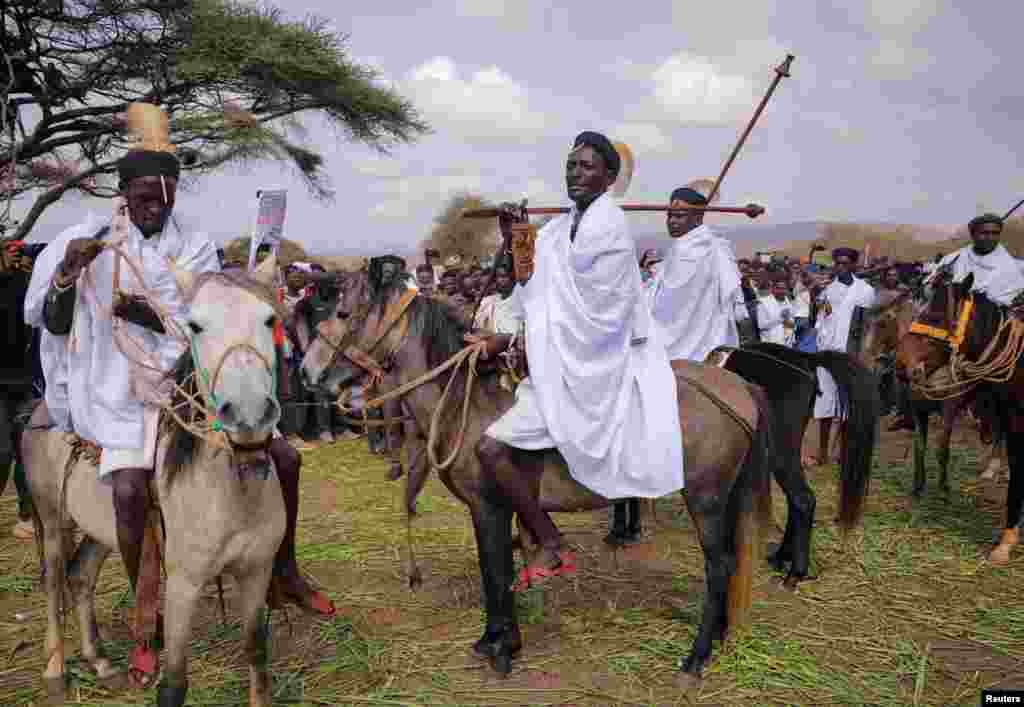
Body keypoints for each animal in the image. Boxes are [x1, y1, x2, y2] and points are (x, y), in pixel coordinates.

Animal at [24, 255, 288, 704]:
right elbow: (174, 683)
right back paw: (57, 669)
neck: (231, 495)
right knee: (55, 583)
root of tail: (39, 411)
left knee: (80, 577)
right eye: (195, 326)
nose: (249, 415)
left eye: (270, 319)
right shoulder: (183, 584)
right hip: (53, 520)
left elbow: (256, 650)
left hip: (100, 529)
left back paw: (100, 661)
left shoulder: (256, 571)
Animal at [299, 270, 770, 684]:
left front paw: (501, 647)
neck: (464, 401)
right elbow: (498, 568)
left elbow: (495, 571)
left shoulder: (488, 505)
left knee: (719, 564)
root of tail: (737, 387)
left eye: (342, 312)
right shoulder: (496, 509)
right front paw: (497, 639)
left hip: (706, 498)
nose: (306, 371)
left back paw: (696, 656)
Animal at [704, 342, 880, 590]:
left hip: (781, 448)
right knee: (796, 501)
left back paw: (795, 573)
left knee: (803, 499)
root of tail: (805, 360)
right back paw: (782, 557)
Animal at [897, 270, 1024, 561]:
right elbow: (920, 447)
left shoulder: (949, 409)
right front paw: (918, 488)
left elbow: (942, 449)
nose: (900, 365)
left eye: (934, 316)